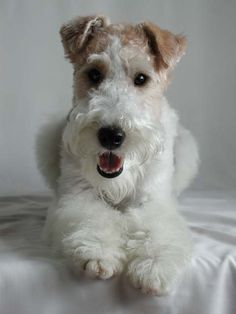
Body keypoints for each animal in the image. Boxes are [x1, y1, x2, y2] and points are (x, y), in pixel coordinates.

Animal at [37, 14, 199, 294]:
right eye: (94, 74)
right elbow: (92, 219)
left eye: (142, 78)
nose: (111, 136)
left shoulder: (152, 201)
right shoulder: (79, 196)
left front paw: (153, 266)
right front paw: (98, 253)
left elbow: (157, 229)